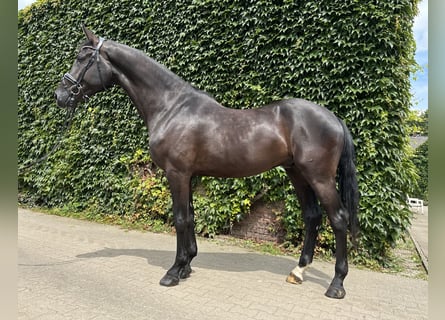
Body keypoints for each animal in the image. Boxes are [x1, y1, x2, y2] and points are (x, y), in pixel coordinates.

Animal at [54, 26, 358, 298]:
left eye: (82, 57)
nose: (60, 95)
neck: (172, 107)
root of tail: (333, 118)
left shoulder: (176, 173)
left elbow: (179, 218)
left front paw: (173, 272)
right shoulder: (188, 175)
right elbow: (190, 217)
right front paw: (186, 265)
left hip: (319, 177)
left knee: (338, 219)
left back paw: (337, 285)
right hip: (297, 173)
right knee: (312, 216)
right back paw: (298, 271)